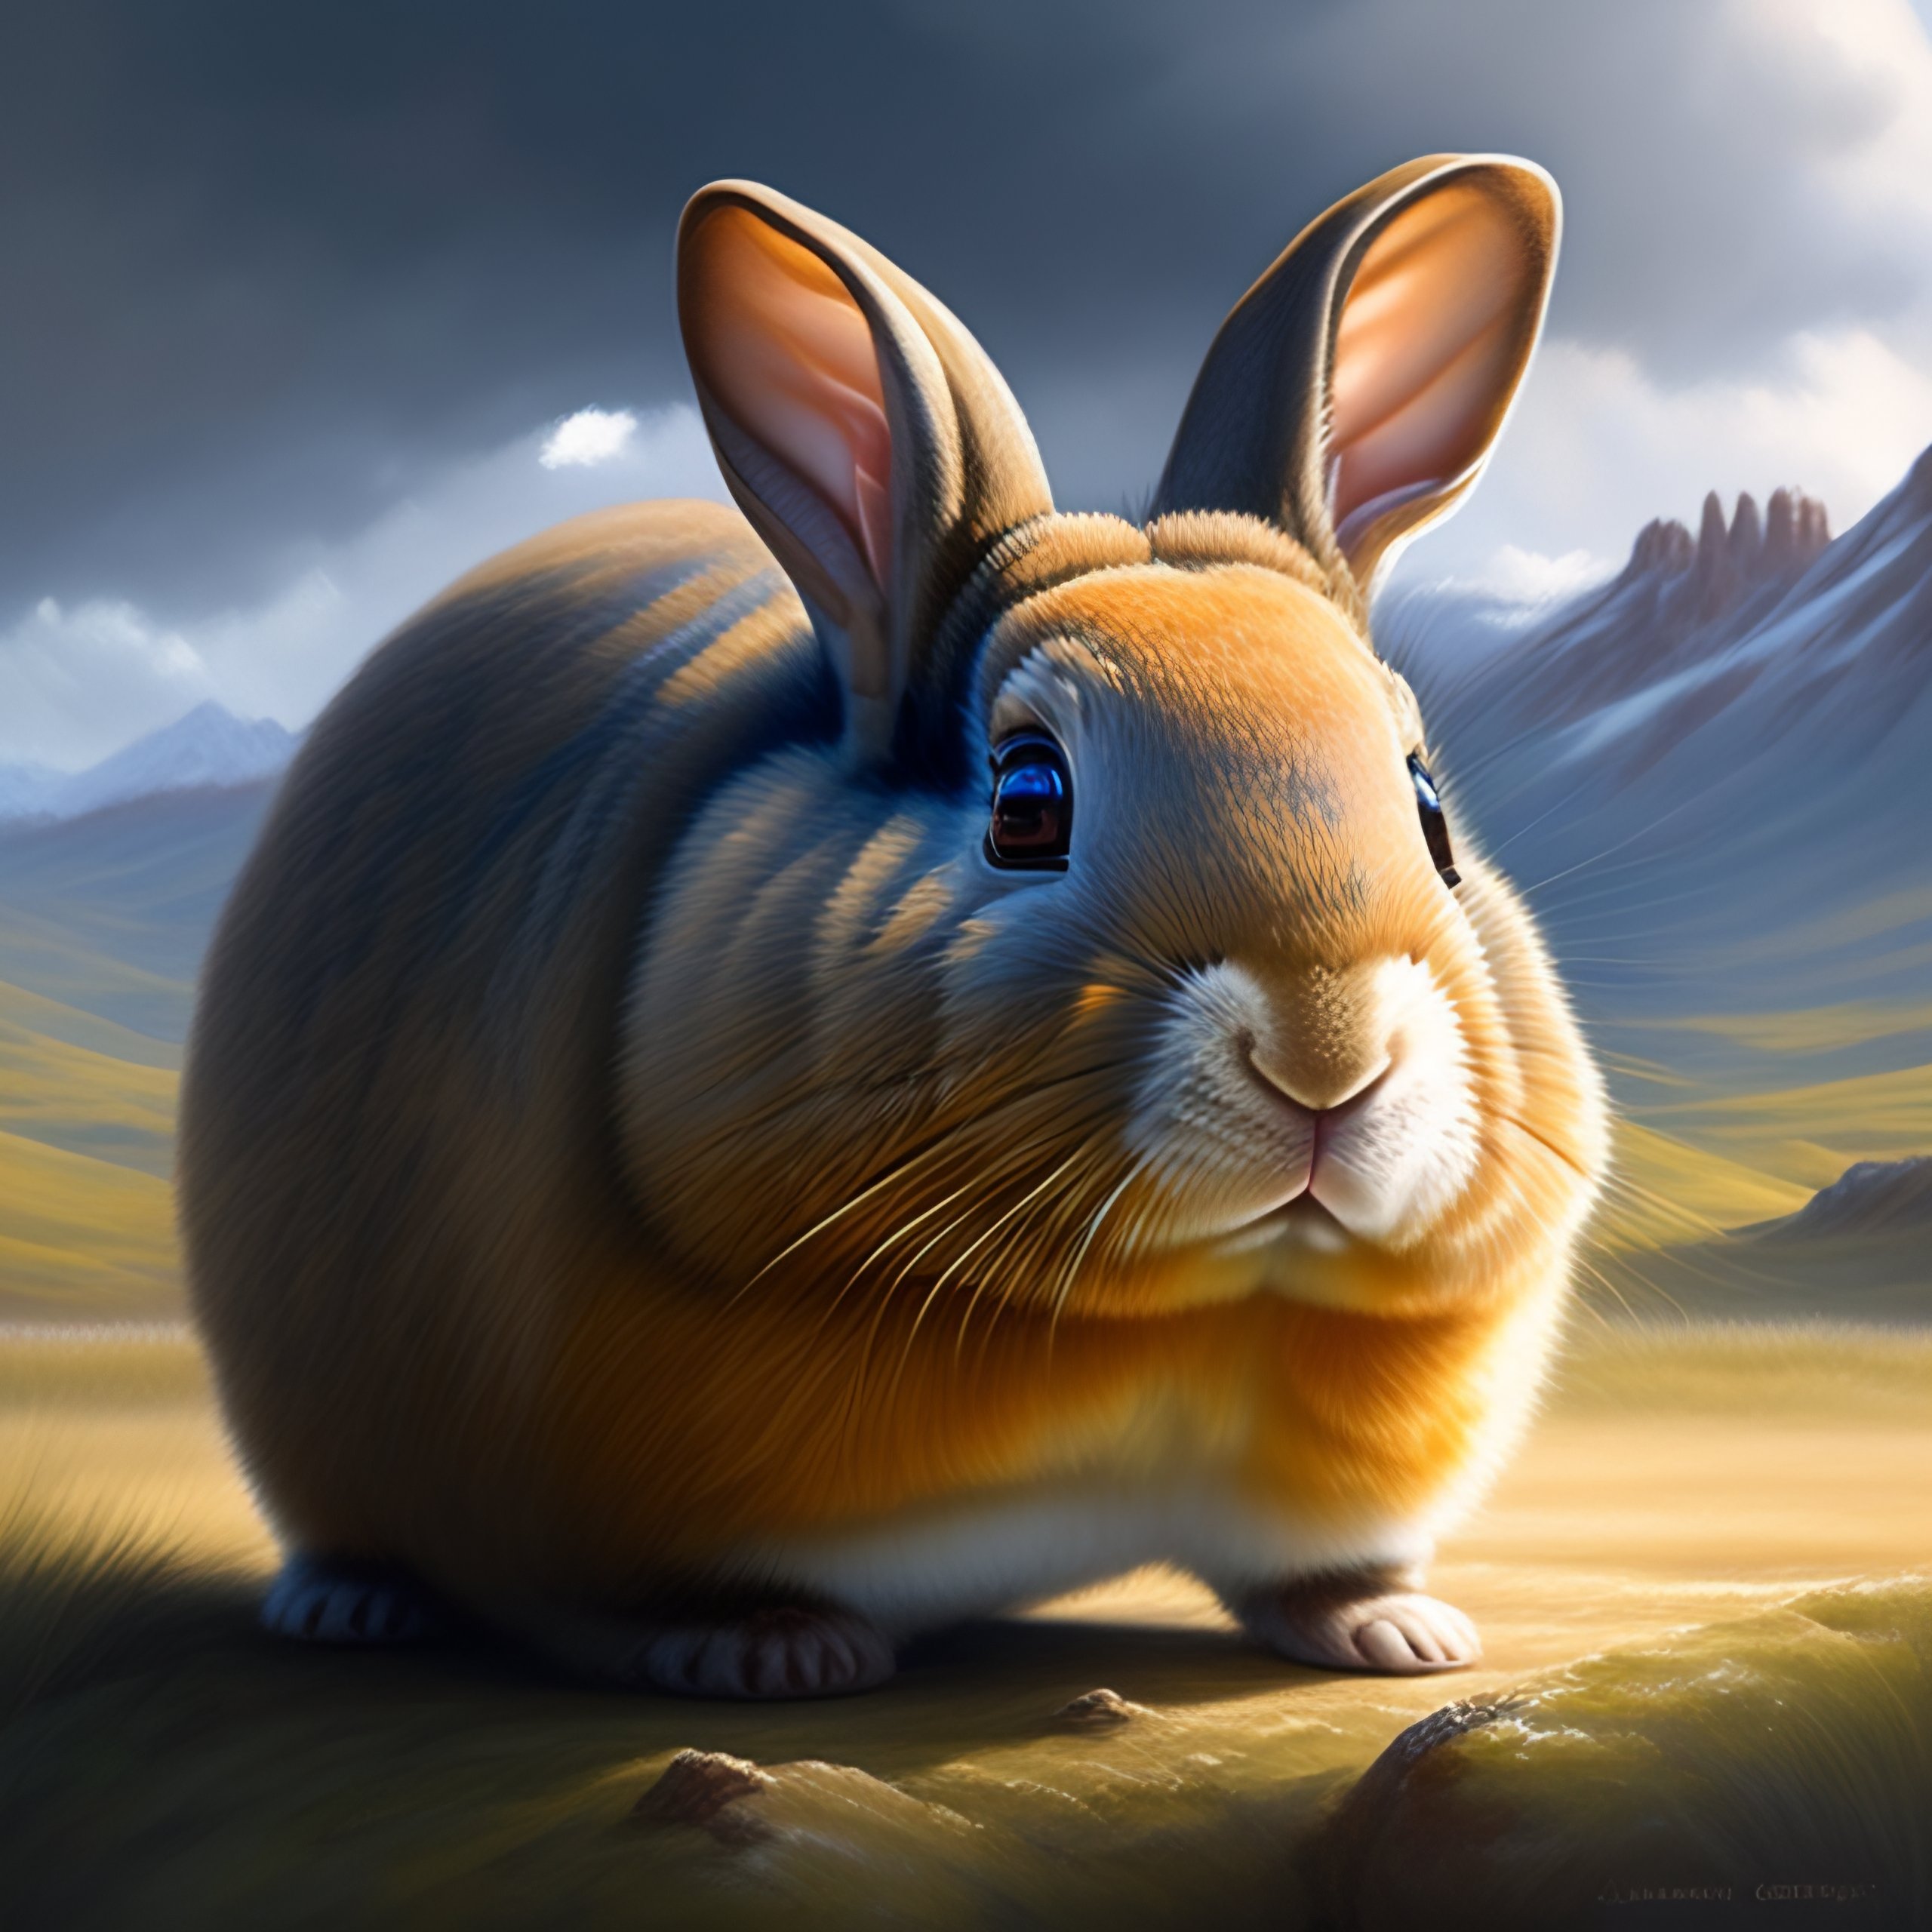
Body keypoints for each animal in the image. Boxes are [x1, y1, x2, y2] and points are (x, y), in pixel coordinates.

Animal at [179, 153, 1605, 1699]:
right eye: (1028, 800)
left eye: (1428, 808)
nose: (1327, 1060)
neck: (1191, 1314)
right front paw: (774, 1655)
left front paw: (1395, 1633)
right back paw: (348, 1606)